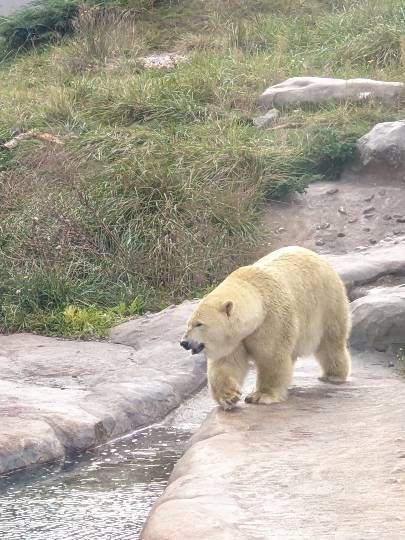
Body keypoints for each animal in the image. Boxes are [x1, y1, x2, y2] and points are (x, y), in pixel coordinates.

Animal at [180, 248, 350, 410]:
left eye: (199, 324)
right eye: (188, 323)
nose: (184, 342)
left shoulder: (272, 320)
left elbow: (271, 356)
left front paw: (260, 396)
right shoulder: (236, 338)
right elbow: (226, 362)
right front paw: (229, 397)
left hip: (328, 302)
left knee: (330, 342)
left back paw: (333, 375)